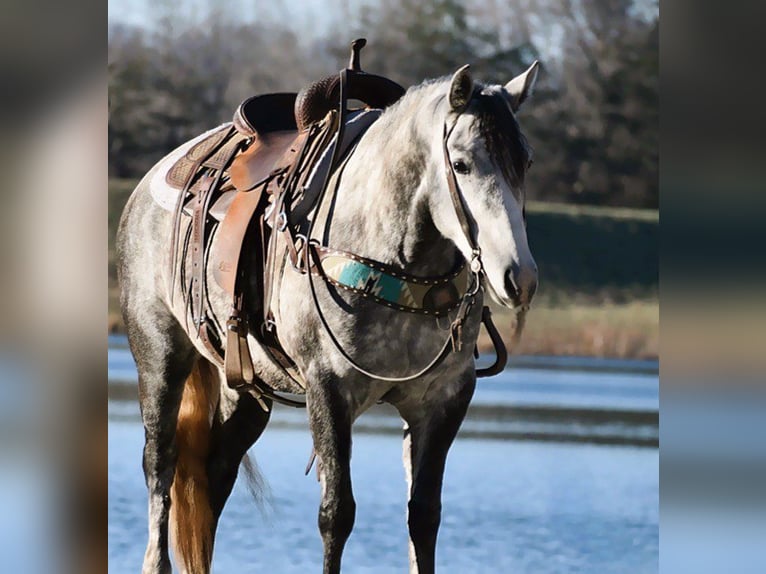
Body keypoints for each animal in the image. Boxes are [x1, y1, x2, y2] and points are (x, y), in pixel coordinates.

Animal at [118, 63, 540, 574]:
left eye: (526, 162)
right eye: (460, 164)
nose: (518, 277)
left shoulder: (443, 400)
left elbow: (424, 516)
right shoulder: (329, 388)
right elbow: (336, 514)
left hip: (244, 389)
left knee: (214, 474)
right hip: (159, 358)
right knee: (160, 464)